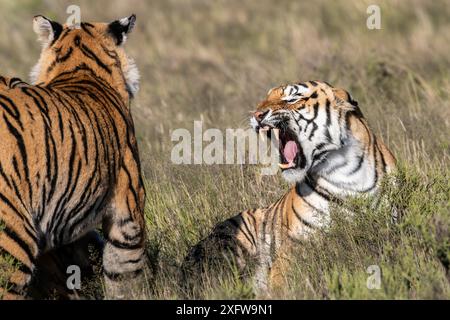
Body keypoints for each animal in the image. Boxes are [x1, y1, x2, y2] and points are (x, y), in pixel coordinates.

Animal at [181, 80, 396, 296]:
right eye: (266, 97)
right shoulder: (295, 244)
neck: (344, 173)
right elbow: (281, 282)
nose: (257, 115)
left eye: (291, 99)